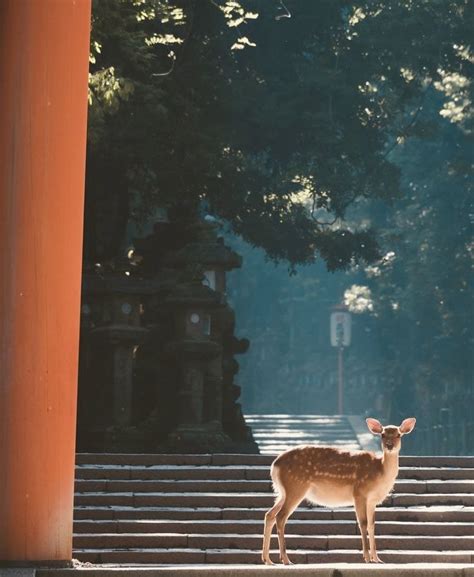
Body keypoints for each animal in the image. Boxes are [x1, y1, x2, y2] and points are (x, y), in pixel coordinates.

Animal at [262, 416, 416, 564]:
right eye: (383, 435)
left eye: (398, 435)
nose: (389, 446)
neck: (380, 472)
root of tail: (274, 465)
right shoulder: (359, 492)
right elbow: (363, 523)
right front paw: (367, 558)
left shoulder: (372, 500)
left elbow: (372, 525)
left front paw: (377, 558)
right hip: (296, 486)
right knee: (280, 516)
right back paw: (286, 559)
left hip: (283, 492)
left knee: (269, 514)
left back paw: (268, 560)